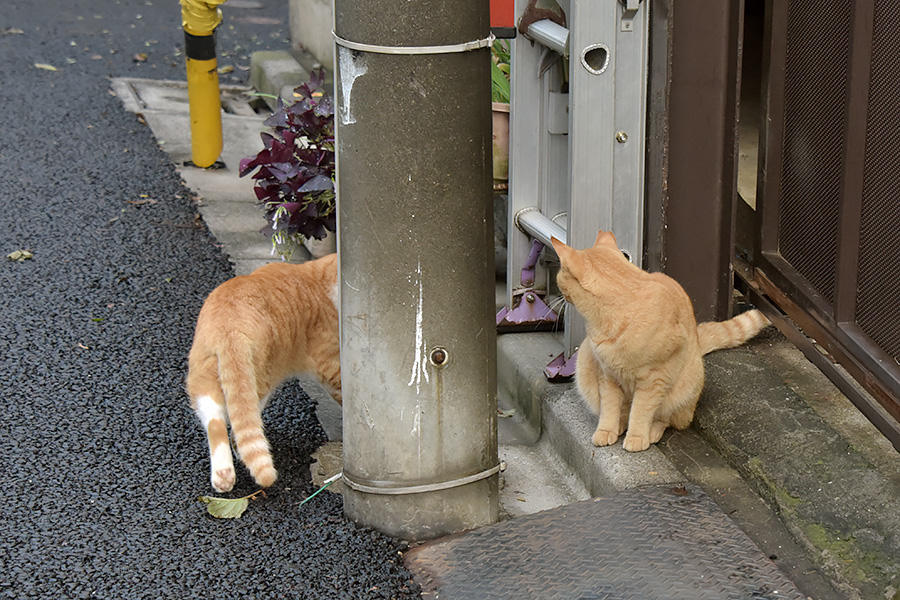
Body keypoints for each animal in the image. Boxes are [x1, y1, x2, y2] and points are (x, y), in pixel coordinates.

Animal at [185, 253, 340, 492]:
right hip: (260, 379)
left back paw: (223, 474)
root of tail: (229, 329)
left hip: (203, 376)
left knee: (215, 418)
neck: (319, 281)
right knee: (240, 423)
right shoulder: (330, 365)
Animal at [552, 232, 768, 452]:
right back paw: (621, 425)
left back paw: (652, 432)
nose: (558, 289)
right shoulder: (608, 376)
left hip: (683, 388)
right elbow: (610, 408)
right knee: (624, 413)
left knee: (666, 419)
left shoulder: (654, 380)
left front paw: (637, 437)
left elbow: (641, 411)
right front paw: (606, 430)